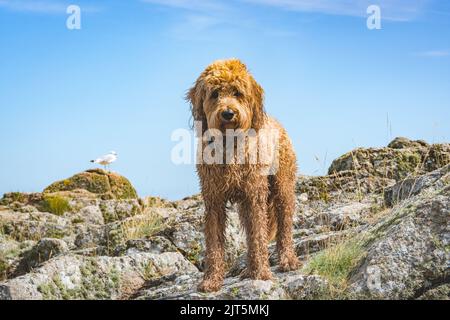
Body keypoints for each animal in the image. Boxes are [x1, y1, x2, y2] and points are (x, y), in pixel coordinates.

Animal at [186, 58, 298, 292]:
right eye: (215, 93)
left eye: (237, 92)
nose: (228, 113)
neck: (230, 146)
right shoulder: (213, 200)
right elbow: (214, 243)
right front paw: (211, 280)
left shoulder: (255, 196)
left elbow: (258, 237)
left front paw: (262, 273)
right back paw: (248, 270)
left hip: (282, 187)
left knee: (284, 225)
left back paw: (287, 260)